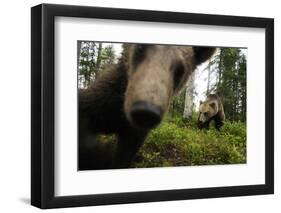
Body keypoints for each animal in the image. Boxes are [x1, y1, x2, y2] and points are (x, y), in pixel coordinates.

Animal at [79, 43, 214, 170]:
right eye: (140, 48)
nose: (146, 111)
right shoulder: (101, 103)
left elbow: (124, 156)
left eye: (181, 69)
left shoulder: (134, 134)